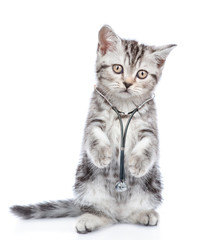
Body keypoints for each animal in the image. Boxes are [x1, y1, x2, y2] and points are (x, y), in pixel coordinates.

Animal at [10, 25, 176, 233]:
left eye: (142, 74)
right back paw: (90, 219)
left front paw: (138, 163)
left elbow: (149, 144)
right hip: (85, 183)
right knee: (102, 214)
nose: (127, 83)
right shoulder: (93, 119)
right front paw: (102, 153)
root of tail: (118, 212)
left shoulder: (150, 127)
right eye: (117, 68)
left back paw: (144, 214)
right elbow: (94, 134)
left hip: (152, 186)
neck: (124, 106)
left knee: (129, 214)